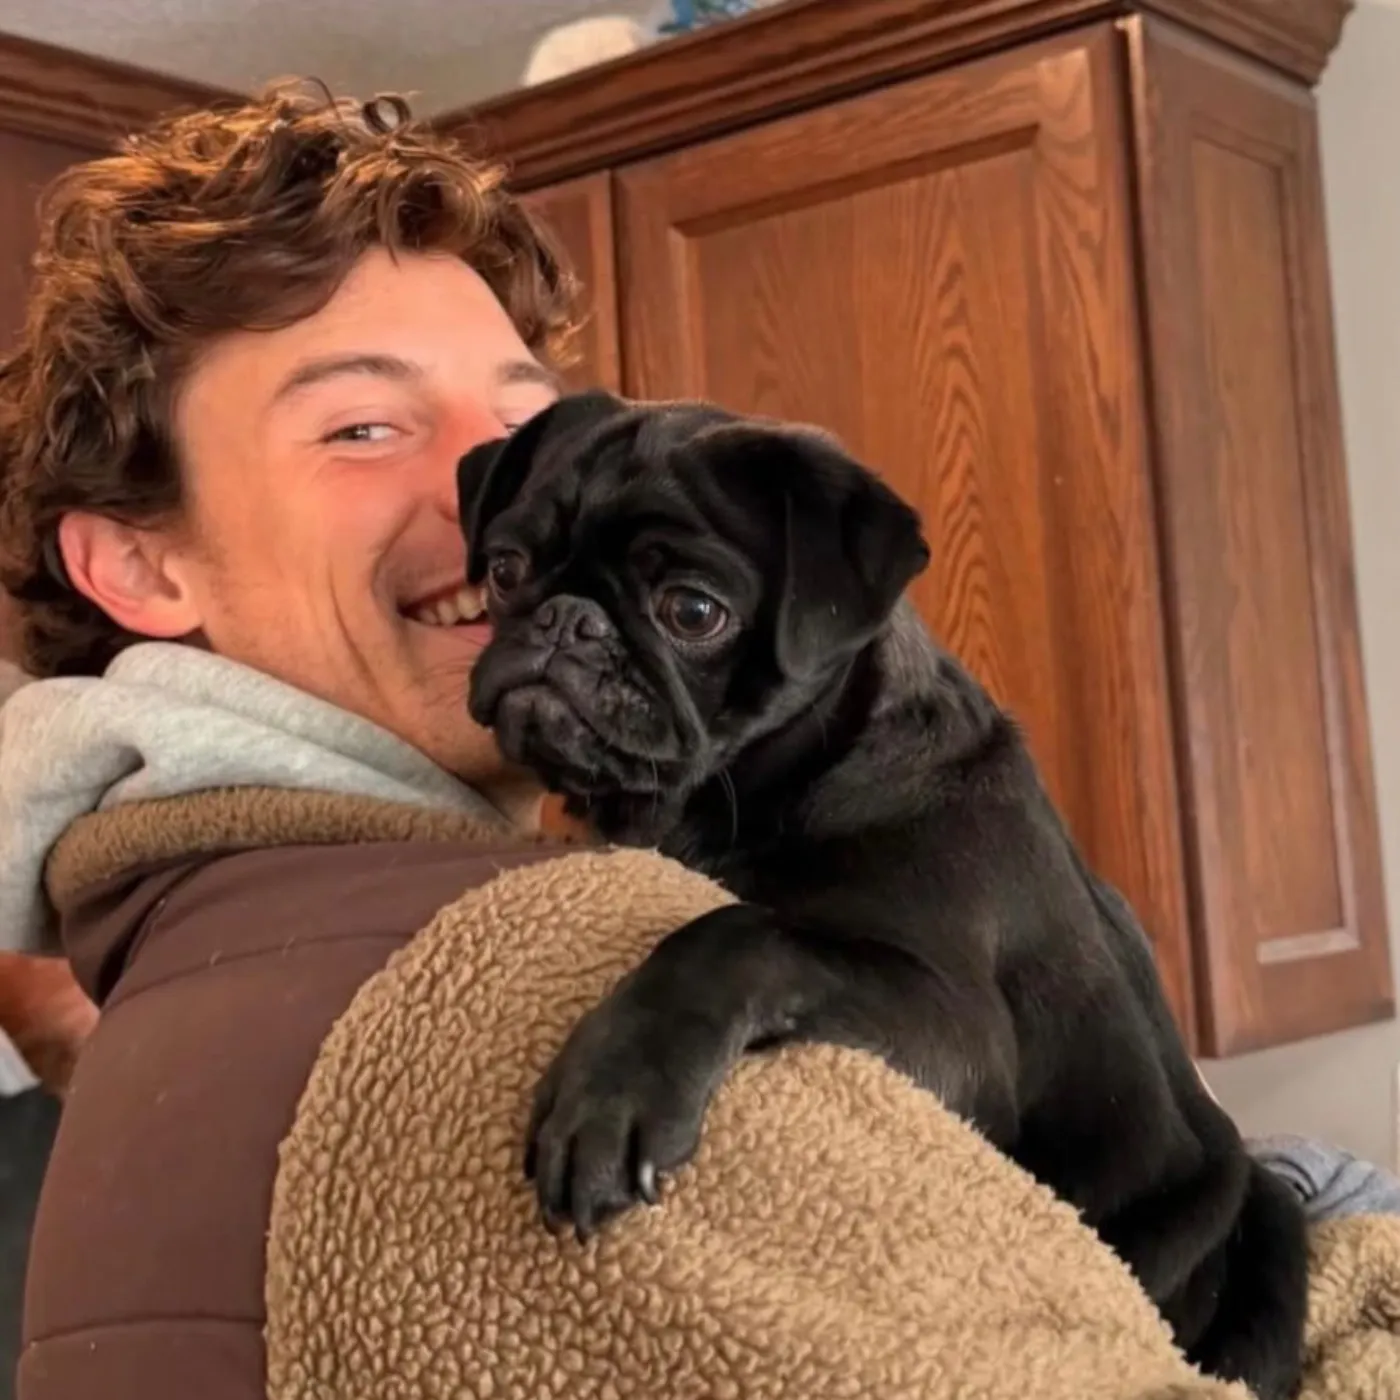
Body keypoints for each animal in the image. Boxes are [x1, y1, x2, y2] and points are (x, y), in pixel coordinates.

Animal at [458, 390, 1309, 1399]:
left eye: (693, 611)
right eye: (504, 569)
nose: (563, 619)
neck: (734, 798)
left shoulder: (955, 1034)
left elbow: (737, 932)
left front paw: (612, 1091)